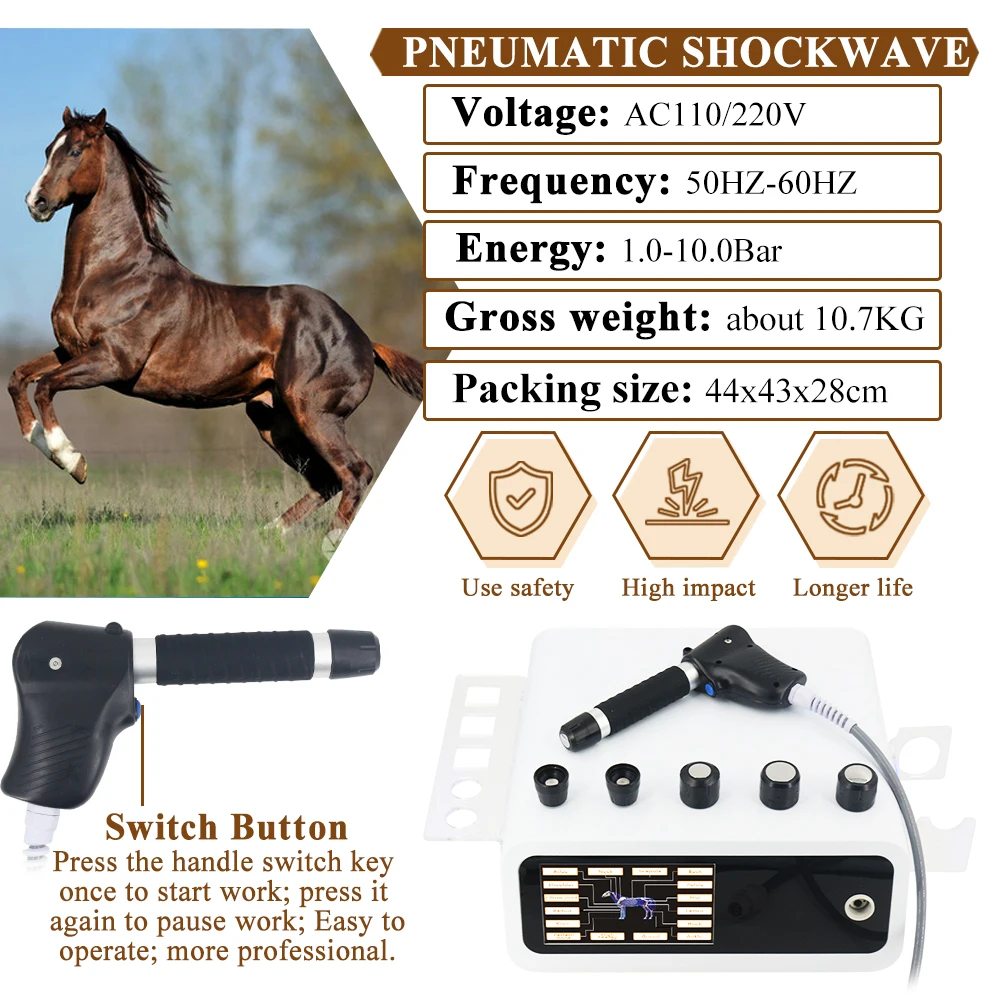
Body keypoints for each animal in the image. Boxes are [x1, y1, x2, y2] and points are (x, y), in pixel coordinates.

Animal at [10, 107, 423, 532]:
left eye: (75, 150)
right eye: (48, 149)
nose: (35, 202)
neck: (115, 273)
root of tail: (365, 340)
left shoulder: (113, 362)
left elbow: (45, 387)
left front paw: (72, 461)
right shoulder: (71, 351)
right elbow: (18, 378)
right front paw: (43, 443)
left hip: (315, 412)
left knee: (355, 472)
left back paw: (326, 538)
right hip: (272, 417)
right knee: (326, 480)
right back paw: (271, 532)